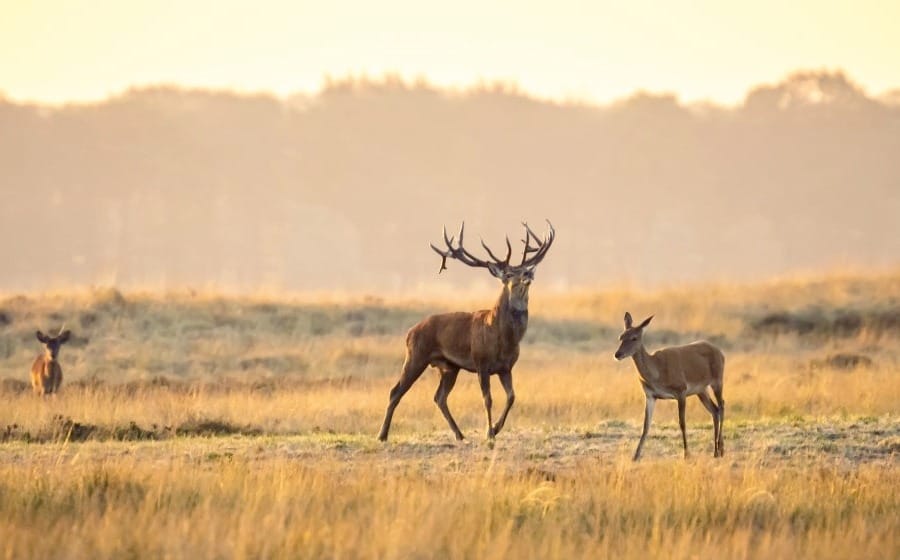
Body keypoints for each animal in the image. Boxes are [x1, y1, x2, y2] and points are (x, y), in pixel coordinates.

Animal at [374, 221, 556, 440]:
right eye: (509, 274)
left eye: (523, 269)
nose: (528, 274)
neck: (504, 338)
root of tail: (409, 332)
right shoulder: (481, 363)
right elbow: (487, 399)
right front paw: (489, 433)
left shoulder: (506, 367)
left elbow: (512, 397)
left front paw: (496, 428)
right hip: (416, 356)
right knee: (395, 391)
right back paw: (382, 435)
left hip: (449, 367)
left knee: (439, 397)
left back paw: (459, 434)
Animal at [616, 310, 728, 460]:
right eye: (621, 337)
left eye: (634, 338)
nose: (618, 354)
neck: (657, 373)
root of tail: (720, 352)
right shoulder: (650, 395)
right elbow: (646, 425)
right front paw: (635, 456)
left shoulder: (681, 390)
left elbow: (682, 423)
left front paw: (686, 454)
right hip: (701, 390)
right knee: (715, 410)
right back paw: (716, 451)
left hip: (717, 380)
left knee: (722, 405)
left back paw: (720, 449)